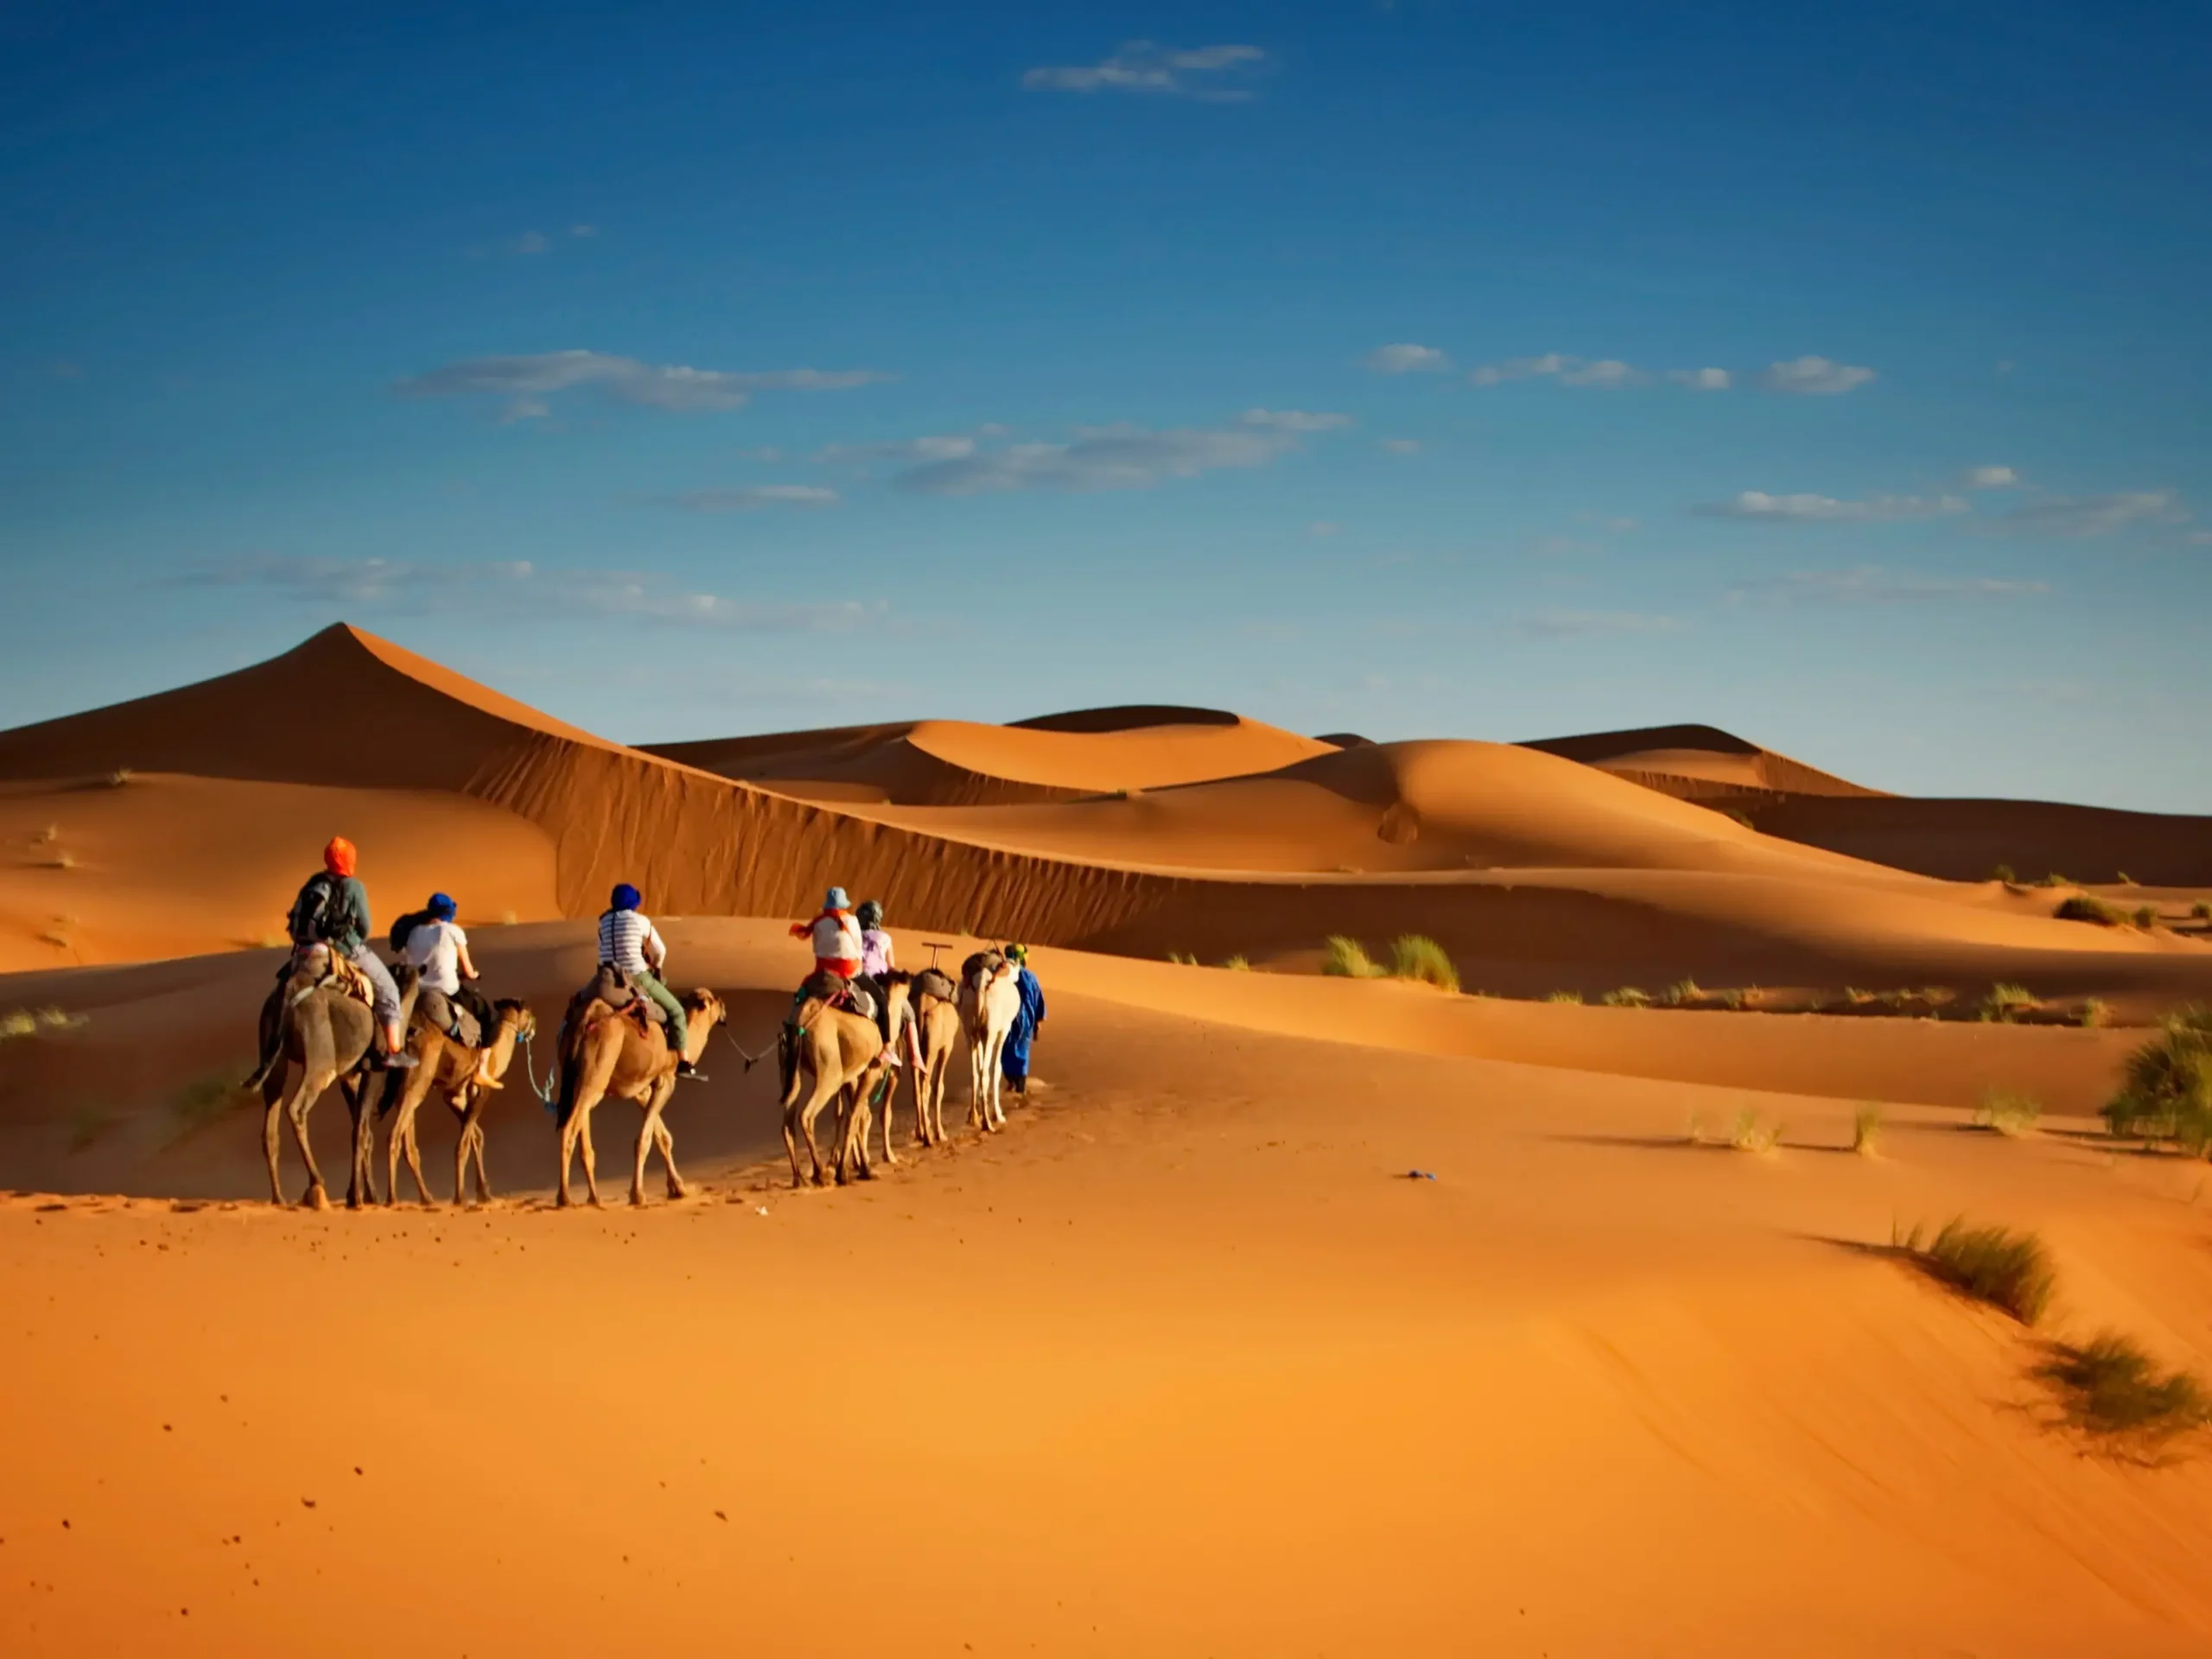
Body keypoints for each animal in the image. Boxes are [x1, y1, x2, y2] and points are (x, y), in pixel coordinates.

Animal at [253, 955, 420, 1211]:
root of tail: (288, 992)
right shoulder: (374, 1069)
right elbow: (360, 1131)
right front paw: (356, 1197)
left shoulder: (349, 1076)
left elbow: (363, 1132)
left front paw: (369, 1195)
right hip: (321, 1059)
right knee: (296, 1108)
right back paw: (316, 1182)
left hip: (274, 1056)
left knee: (271, 1122)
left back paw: (279, 1198)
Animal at [378, 1000, 537, 1211]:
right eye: (529, 1012)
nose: (534, 1026)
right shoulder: (481, 1090)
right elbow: (463, 1143)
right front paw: (461, 1197)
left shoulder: (453, 1094)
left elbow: (476, 1136)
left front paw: (485, 1194)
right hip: (418, 1078)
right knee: (395, 1135)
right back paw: (393, 1199)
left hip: (402, 1089)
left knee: (409, 1145)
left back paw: (427, 1198)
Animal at [553, 986, 725, 1211]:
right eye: (712, 1000)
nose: (723, 1005)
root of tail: (586, 1017)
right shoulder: (665, 1079)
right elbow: (644, 1139)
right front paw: (638, 1195)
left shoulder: (641, 1088)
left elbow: (663, 1137)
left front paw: (679, 1188)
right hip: (596, 1070)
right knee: (569, 1128)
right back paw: (564, 1198)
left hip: (579, 1078)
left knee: (583, 1133)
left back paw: (594, 1199)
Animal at [783, 973, 911, 1194]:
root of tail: (802, 1018)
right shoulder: (871, 1070)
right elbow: (855, 1116)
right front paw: (847, 1171)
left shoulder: (851, 1076)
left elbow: (859, 1115)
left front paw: (863, 1167)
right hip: (830, 1070)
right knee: (806, 1115)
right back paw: (821, 1173)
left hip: (791, 1065)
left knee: (787, 1118)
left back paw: (799, 1178)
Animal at [955, 955, 1013, 1141]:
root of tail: (980, 982)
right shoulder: (1004, 1029)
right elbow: (997, 1068)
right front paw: (999, 1115)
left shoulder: (977, 1034)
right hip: (990, 1030)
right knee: (985, 1073)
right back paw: (987, 1123)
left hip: (969, 1029)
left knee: (975, 1072)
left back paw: (973, 1116)